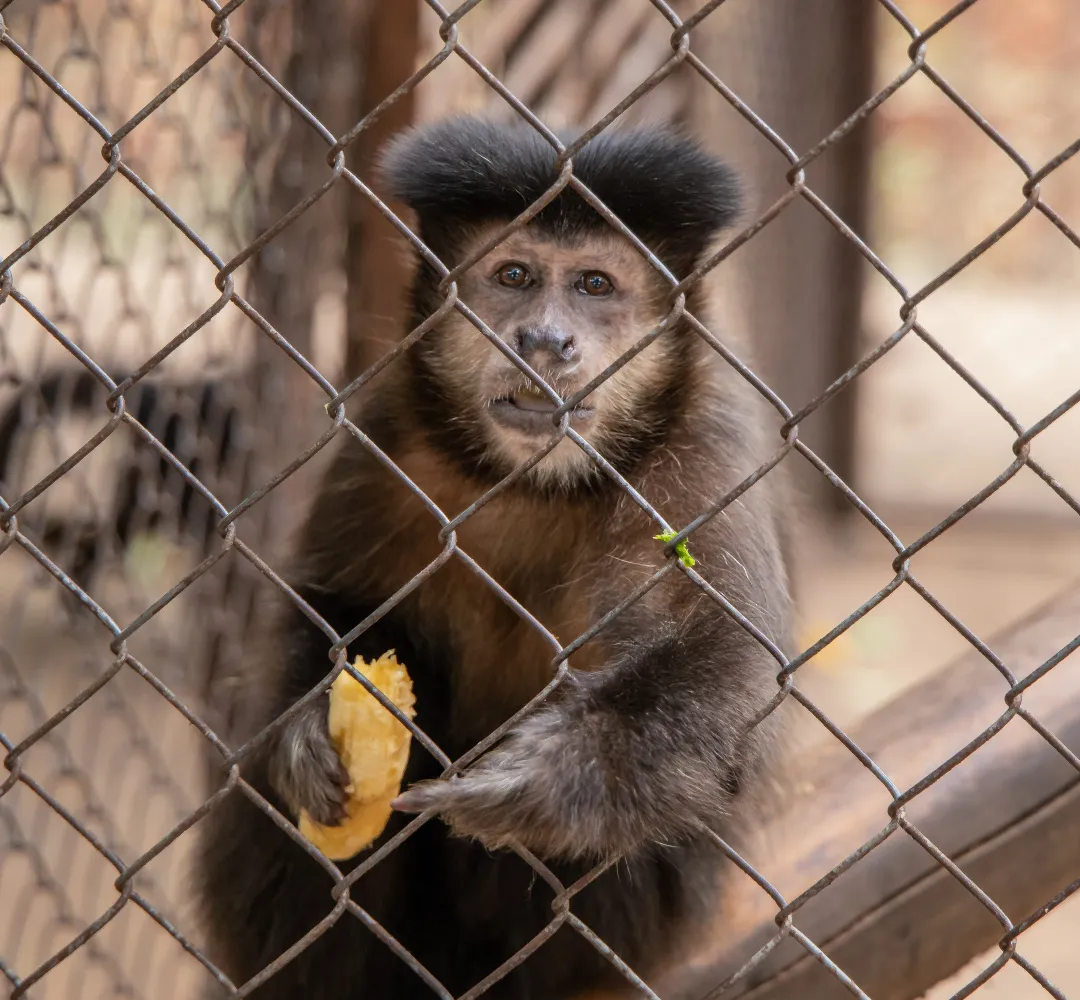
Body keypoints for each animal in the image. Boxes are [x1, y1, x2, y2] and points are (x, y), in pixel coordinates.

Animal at [195, 116, 794, 999]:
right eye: (514, 276)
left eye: (594, 286)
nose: (544, 339)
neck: (538, 485)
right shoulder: (389, 428)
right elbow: (335, 600)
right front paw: (308, 732)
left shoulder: (704, 445)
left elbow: (730, 664)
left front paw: (547, 780)